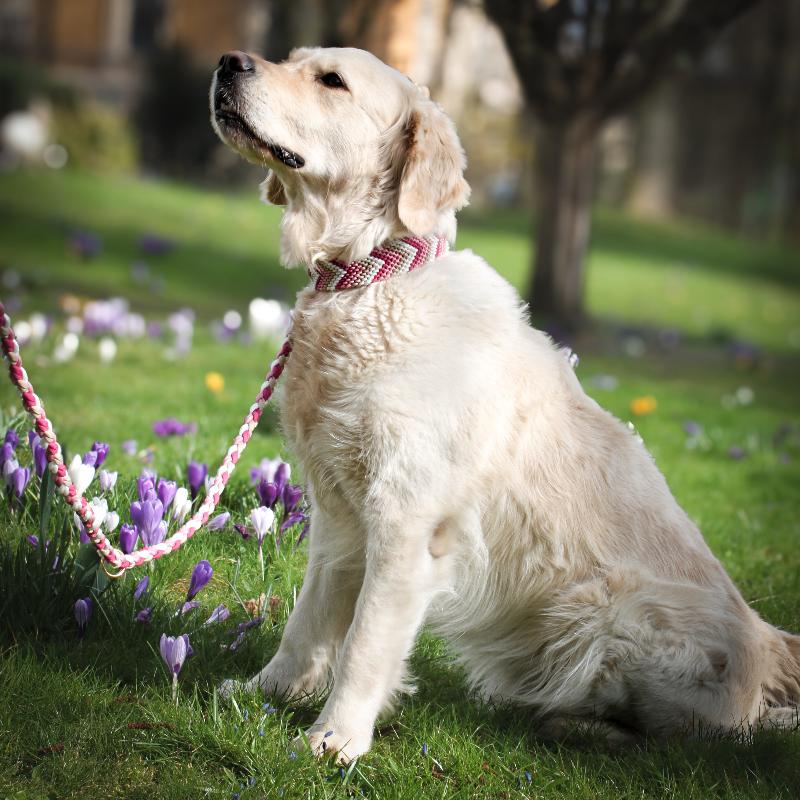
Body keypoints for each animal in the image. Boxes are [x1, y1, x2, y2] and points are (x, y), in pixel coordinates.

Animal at [209, 45, 796, 764]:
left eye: (332, 81)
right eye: (290, 59)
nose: (230, 61)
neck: (367, 278)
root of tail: (768, 645)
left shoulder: (408, 521)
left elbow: (365, 644)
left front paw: (334, 740)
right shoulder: (337, 514)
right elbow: (307, 621)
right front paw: (265, 692)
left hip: (609, 608)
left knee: (707, 735)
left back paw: (576, 724)